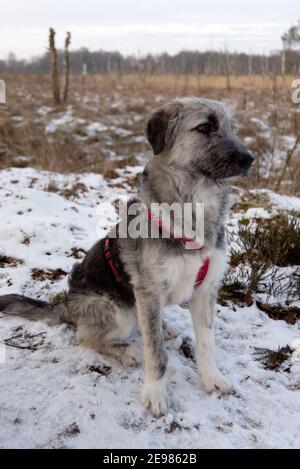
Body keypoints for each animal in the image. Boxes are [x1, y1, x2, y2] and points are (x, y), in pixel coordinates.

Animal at [0, 97, 253, 414]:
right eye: (205, 127)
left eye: (234, 129)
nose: (249, 159)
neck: (193, 210)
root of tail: (65, 305)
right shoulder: (148, 291)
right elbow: (156, 353)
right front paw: (155, 392)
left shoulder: (205, 289)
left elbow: (207, 343)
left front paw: (211, 378)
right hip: (119, 311)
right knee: (86, 337)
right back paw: (127, 351)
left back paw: (164, 328)